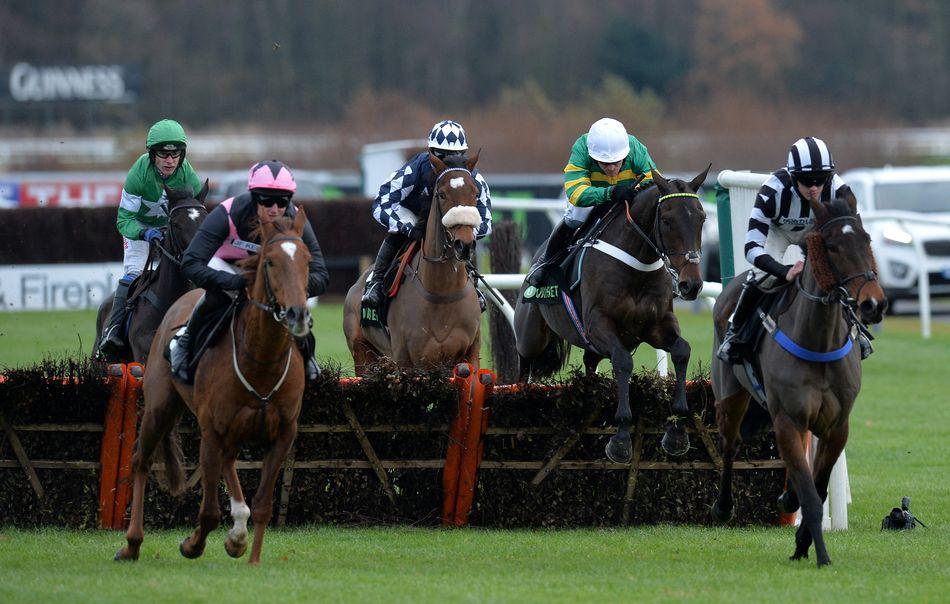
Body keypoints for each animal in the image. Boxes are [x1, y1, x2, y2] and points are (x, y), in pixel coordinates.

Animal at [114, 209, 310, 568]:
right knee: (141, 460)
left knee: (229, 462)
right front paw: (192, 545)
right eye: (270, 262)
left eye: (307, 260)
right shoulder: (211, 433)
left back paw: (238, 532)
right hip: (159, 407)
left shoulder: (283, 434)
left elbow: (263, 505)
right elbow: (208, 513)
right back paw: (132, 544)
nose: (297, 313)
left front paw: (252, 558)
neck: (260, 361)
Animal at [342, 152, 484, 372]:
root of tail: (357, 284)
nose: (465, 244)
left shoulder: (469, 355)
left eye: (476, 194)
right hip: (363, 354)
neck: (442, 292)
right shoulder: (407, 360)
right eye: (441, 194)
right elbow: (385, 200)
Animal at [516, 168, 712, 464]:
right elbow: (622, 361)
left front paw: (677, 430)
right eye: (667, 220)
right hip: (531, 336)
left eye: (702, 218)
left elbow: (682, 351)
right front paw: (620, 438)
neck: (637, 264)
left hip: (590, 349)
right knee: (523, 366)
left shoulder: (656, 325)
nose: (691, 285)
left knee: (589, 365)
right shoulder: (598, 324)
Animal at [712, 195, 892, 568]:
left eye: (867, 239)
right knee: (730, 443)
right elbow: (810, 496)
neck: (818, 341)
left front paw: (802, 540)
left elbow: (818, 486)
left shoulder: (837, 426)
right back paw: (723, 506)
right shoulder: (788, 420)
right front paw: (819, 554)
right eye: (832, 246)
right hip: (731, 397)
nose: (873, 303)